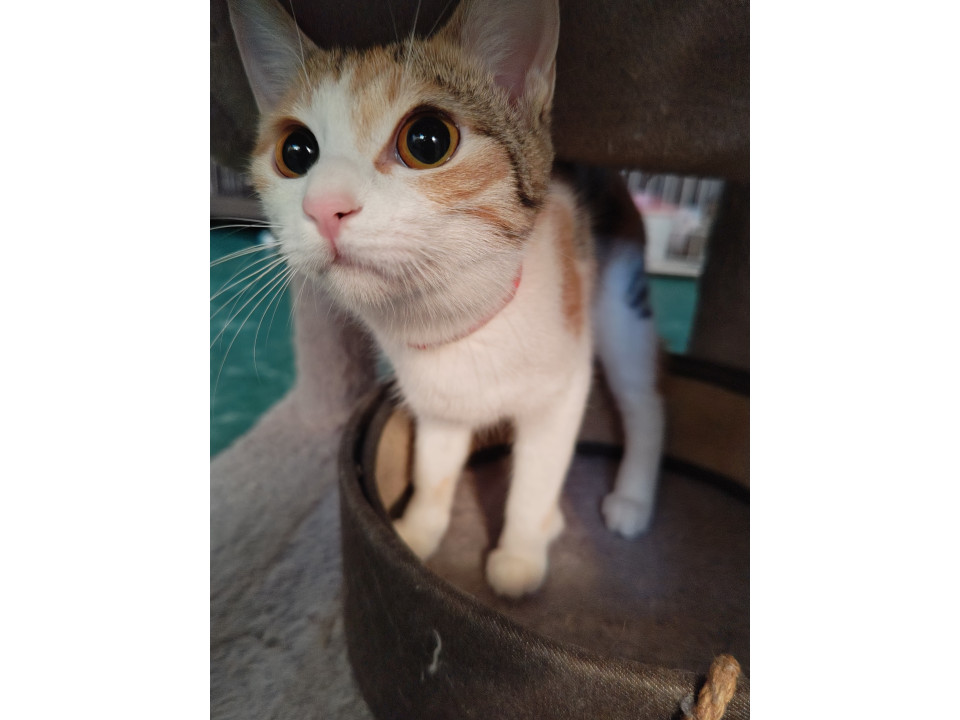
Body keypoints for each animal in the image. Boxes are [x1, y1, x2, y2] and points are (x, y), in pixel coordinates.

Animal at [226, 0, 664, 598]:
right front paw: (415, 533)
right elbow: (433, 470)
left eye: (428, 141)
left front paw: (520, 552)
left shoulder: (563, 387)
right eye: (295, 151)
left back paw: (632, 500)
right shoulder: (436, 408)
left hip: (620, 304)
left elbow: (537, 476)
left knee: (646, 404)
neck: (456, 321)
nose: (323, 206)